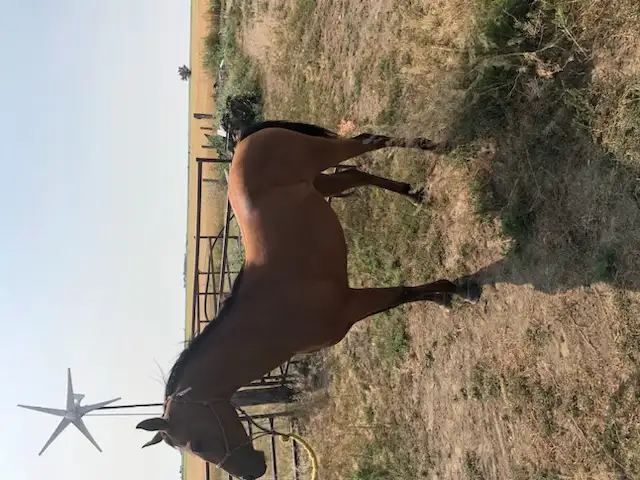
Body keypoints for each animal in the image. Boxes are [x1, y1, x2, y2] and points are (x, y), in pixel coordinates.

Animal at [136, 120, 482, 479]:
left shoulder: (349, 306)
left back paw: (440, 149)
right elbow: (404, 296)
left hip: (326, 155)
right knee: (355, 174)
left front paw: (456, 289)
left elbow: (401, 294)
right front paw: (444, 296)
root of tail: (246, 139)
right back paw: (416, 194)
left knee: (370, 141)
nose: (253, 471)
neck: (263, 319)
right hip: (320, 181)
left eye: (199, 444)